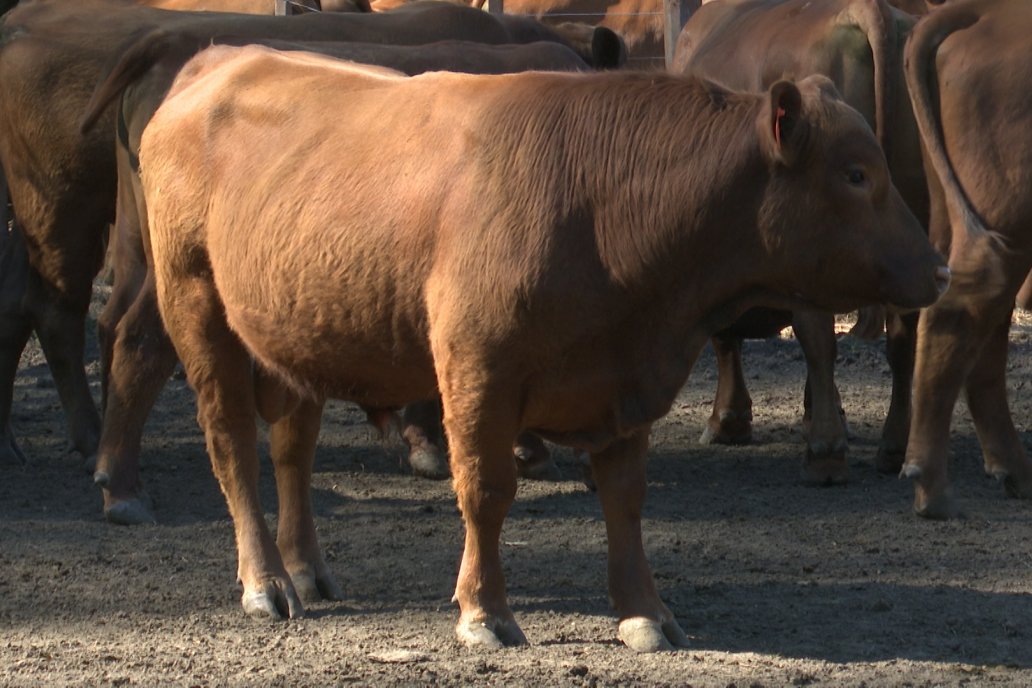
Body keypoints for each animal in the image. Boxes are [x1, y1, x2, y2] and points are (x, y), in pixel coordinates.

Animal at [668, 0, 928, 484]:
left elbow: (724, 336)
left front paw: (728, 420)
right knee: (905, 334)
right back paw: (895, 447)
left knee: (818, 335)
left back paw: (826, 452)